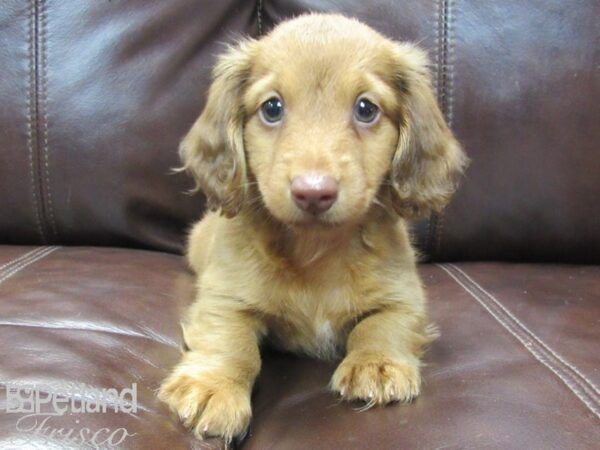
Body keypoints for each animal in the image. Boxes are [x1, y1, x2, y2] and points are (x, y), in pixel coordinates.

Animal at [157, 12, 466, 442]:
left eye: (366, 109)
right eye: (272, 107)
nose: (313, 193)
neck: (316, 250)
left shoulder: (406, 298)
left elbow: (382, 325)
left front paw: (377, 363)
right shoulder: (224, 298)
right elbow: (231, 341)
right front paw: (213, 386)